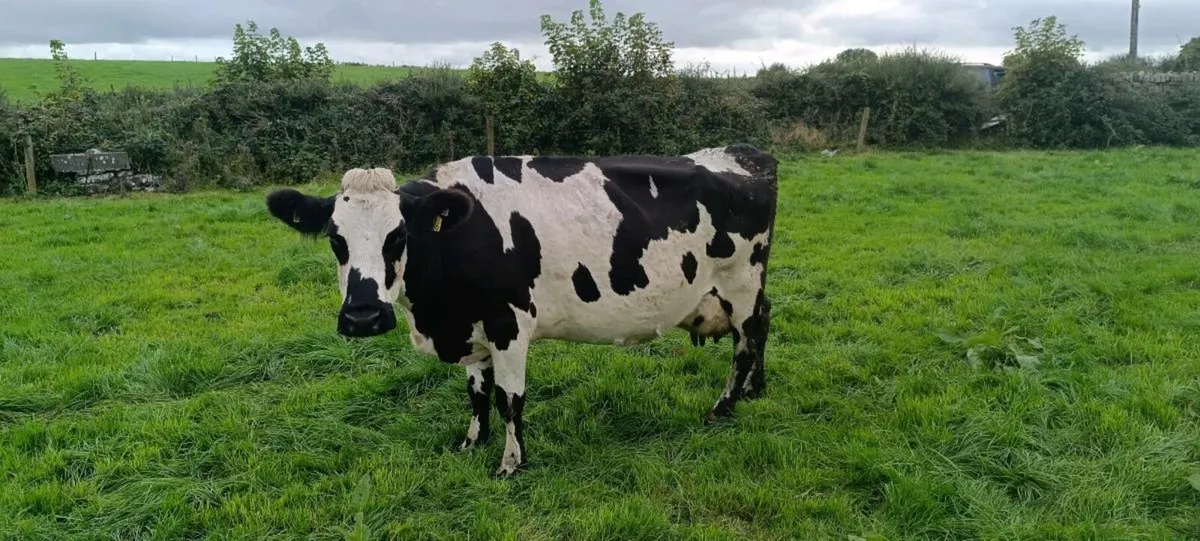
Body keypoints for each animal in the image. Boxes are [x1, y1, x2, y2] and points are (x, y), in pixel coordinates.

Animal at [264, 144, 778, 477]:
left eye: (399, 235)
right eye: (335, 238)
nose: (363, 318)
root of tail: (745, 152)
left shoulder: (508, 324)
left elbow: (509, 399)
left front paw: (511, 464)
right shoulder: (472, 328)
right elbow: (476, 394)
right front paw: (472, 443)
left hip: (739, 280)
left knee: (747, 338)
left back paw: (724, 406)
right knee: (765, 321)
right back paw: (756, 391)